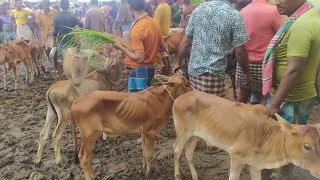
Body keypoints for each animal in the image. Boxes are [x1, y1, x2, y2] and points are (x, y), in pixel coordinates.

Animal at [172, 91, 320, 180]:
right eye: (307, 146)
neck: (266, 136)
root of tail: (181, 97)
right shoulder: (236, 157)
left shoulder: (255, 165)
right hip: (182, 133)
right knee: (177, 151)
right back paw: (177, 175)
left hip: (194, 136)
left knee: (189, 154)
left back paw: (195, 176)